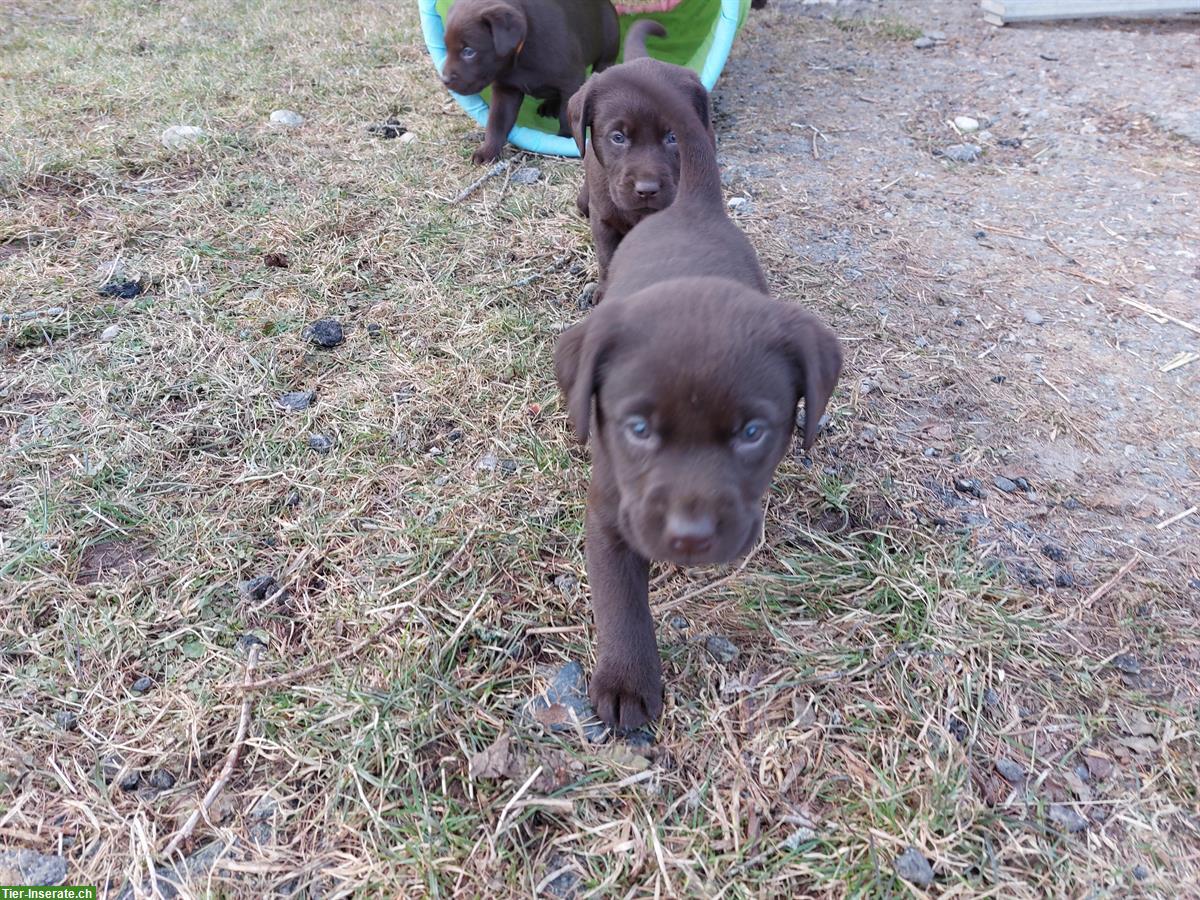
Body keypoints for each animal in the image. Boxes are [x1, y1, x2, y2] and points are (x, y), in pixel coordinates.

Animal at [441, 0, 619, 164]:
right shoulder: (506, 90)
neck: (522, 53)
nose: (444, 79)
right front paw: (487, 151)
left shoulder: (571, 82)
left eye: (468, 51)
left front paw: (564, 138)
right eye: (447, 47)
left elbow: (566, 114)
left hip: (607, 52)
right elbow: (497, 122)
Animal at [554, 61, 844, 734]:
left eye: (752, 432)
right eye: (637, 429)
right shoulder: (609, 513)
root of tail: (689, 205)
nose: (690, 536)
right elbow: (621, 602)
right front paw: (627, 683)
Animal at [568, 20, 715, 296]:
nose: (647, 190)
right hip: (585, 201)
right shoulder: (603, 218)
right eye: (618, 137)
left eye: (673, 136)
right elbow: (607, 259)